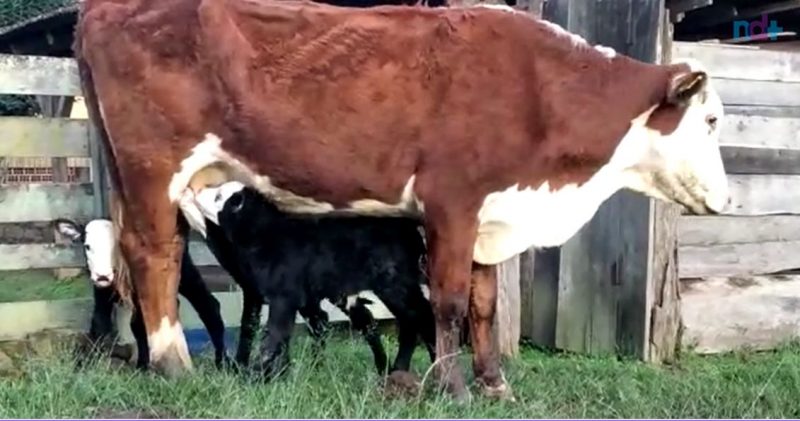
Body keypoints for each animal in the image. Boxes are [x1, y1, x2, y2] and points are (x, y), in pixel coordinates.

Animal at [74, 0, 728, 402]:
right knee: (154, 255)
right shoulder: (451, 204)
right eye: (713, 119)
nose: (727, 197)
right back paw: (173, 366)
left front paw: (495, 386)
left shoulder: (489, 214)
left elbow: (484, 306)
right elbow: (449, 303)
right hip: (153, 167)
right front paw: (452, 387)